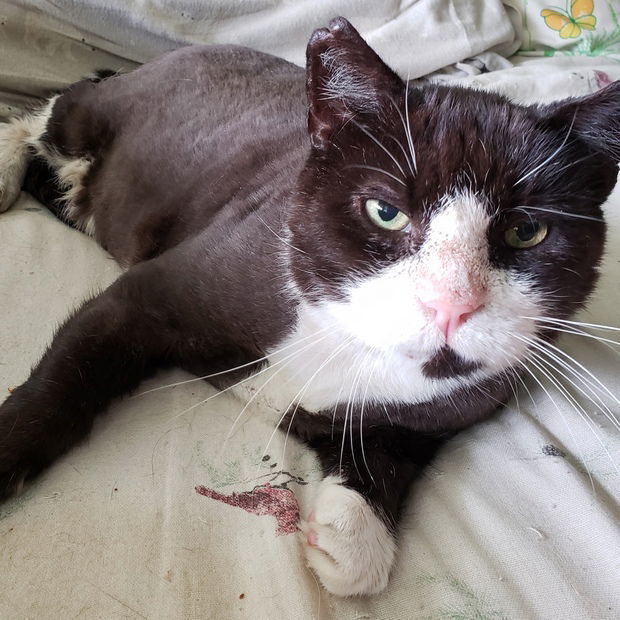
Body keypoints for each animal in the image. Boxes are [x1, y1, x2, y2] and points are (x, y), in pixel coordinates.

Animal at [1, 15, 620, 596]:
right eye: (385, 212)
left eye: (526, 232)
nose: (451, 303)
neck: (342, 339)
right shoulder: (154, 292)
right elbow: (70, 373)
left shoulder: (443, 410)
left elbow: (388, 452)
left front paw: (355, 536)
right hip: (102, 113)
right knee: (58, 107)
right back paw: (10, 165)